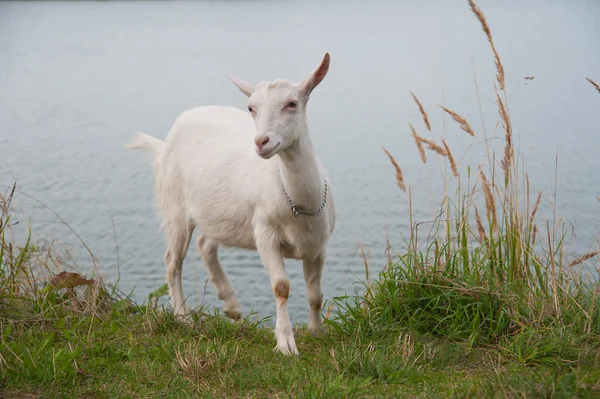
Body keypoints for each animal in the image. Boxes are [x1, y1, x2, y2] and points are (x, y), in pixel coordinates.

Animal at [126, 53, 336, 356]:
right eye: (251, 108)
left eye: (292, 104)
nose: (261, 142)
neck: (299, 201)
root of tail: (165, 141)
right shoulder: (265, 233)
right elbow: (281, 286)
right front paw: (286, 342)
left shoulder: (318, 244)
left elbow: (315, 294)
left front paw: (317, 332)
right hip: (175, 205)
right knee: (172, 261)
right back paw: (183, 317)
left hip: (221, 213)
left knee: (205, 243)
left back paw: (232, 305)